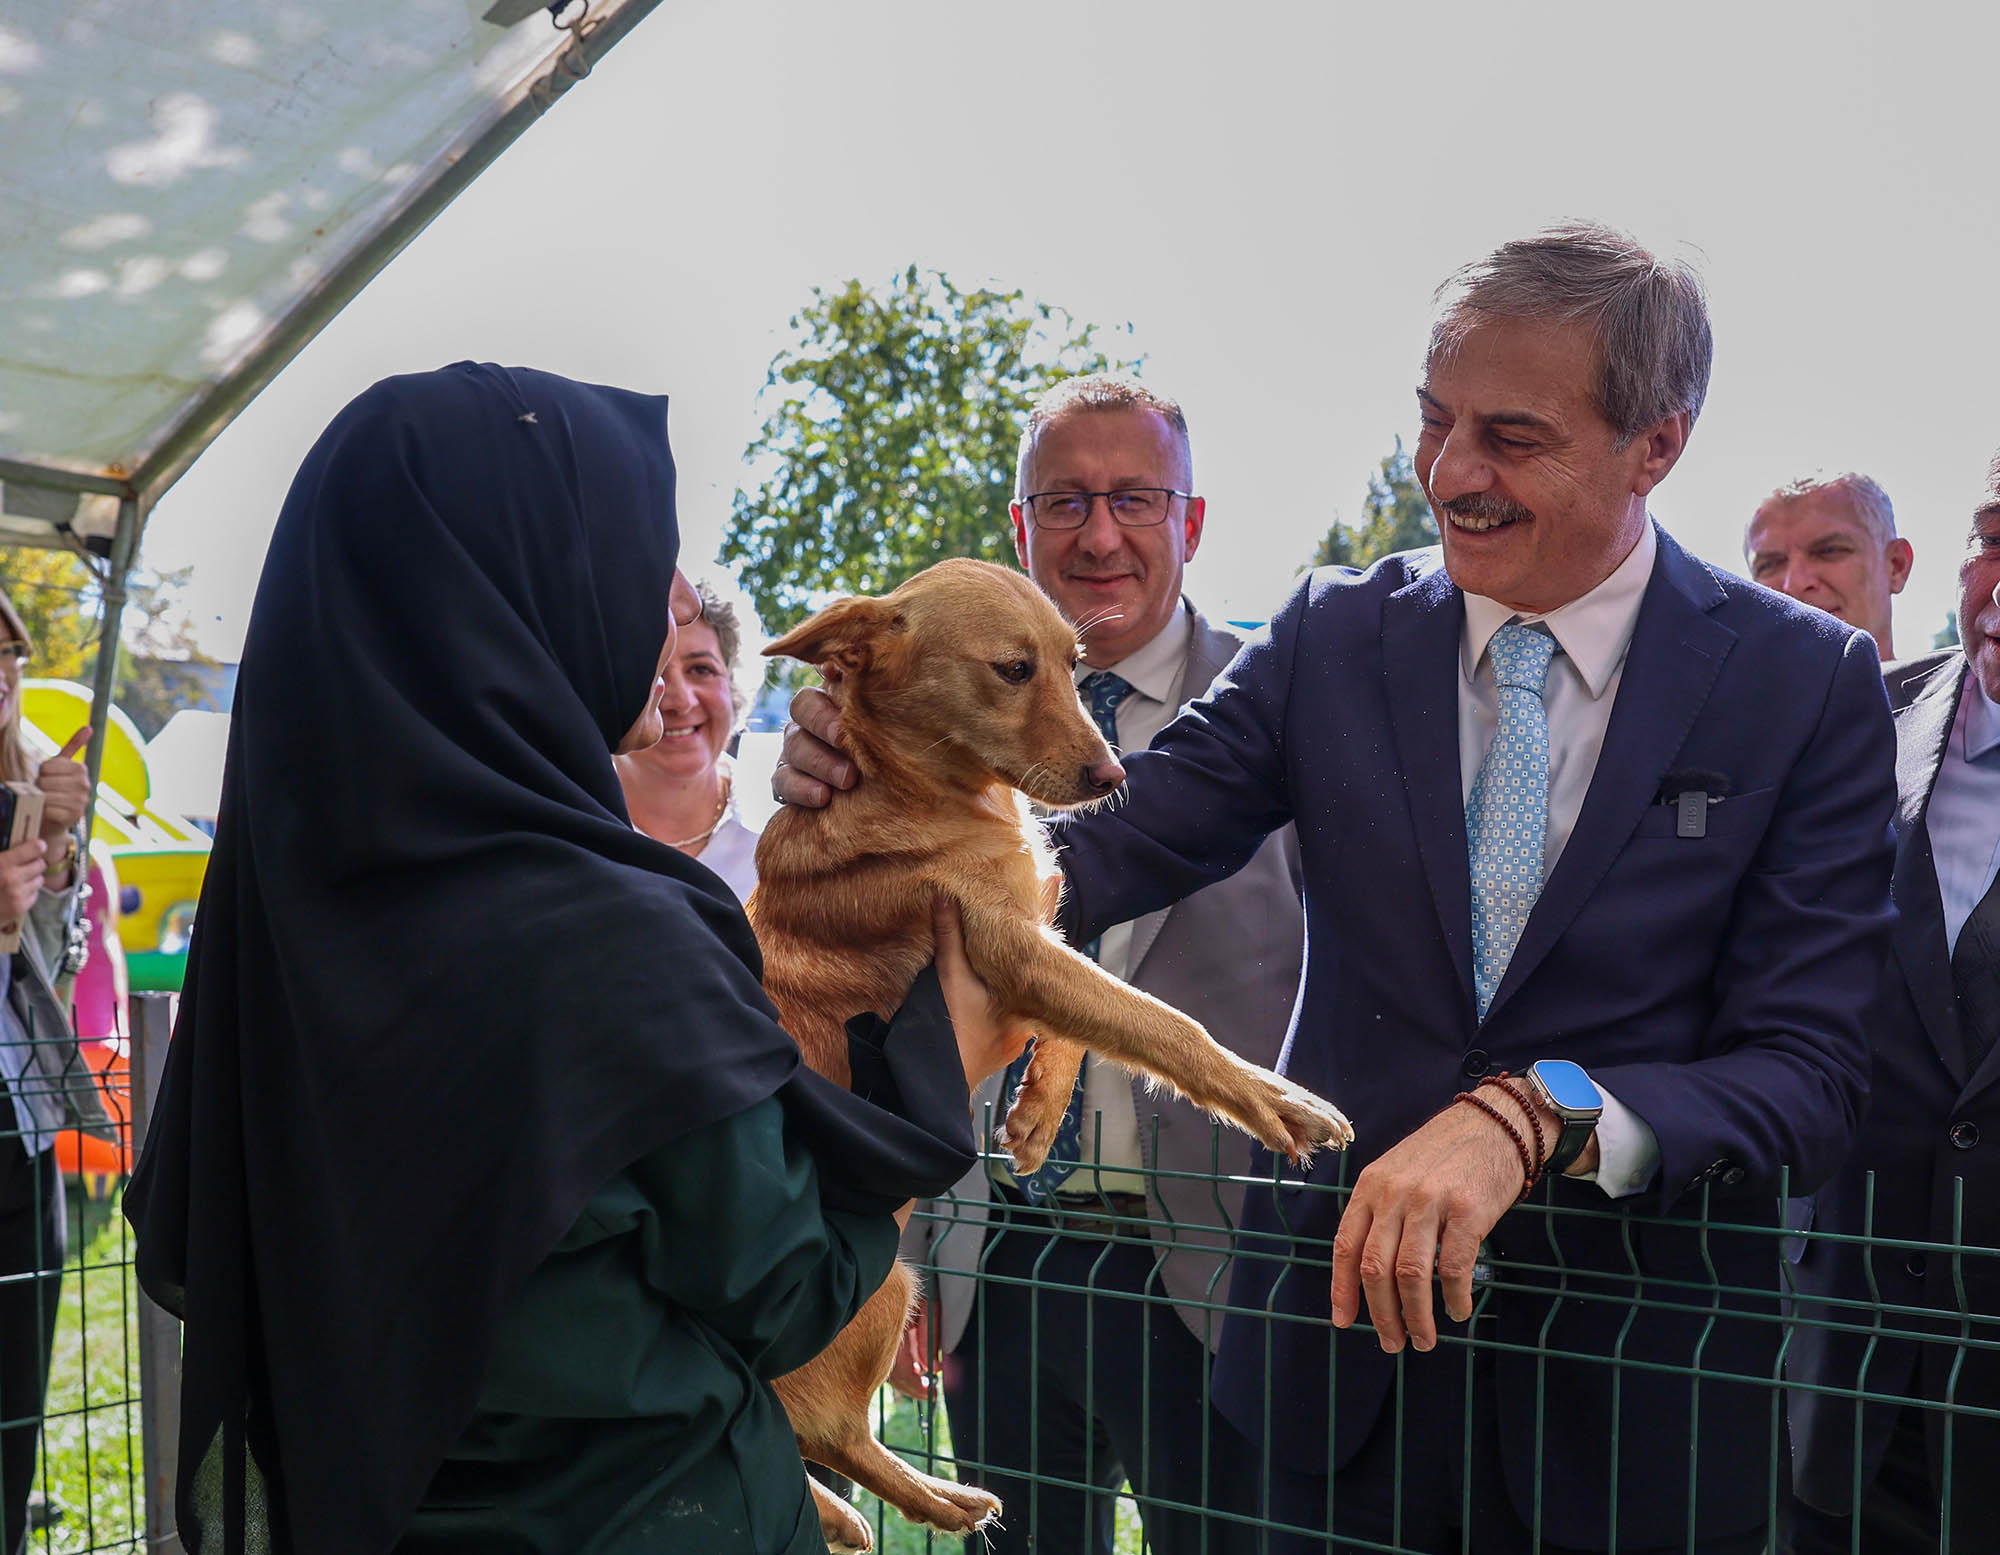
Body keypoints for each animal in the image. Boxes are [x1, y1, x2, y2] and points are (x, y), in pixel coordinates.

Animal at [752, 555, 1360, 1535]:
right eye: (1012, 669)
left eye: (1075, 662)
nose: (1113, 773)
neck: (911, 784)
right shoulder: (1010, 951)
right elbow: (1159, 1021)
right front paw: (1276, 1095)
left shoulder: (1041, 936)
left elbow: (1091, 1025)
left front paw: (1037, 1117)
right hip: (888, 1292)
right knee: (828, 1429)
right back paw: (935, 1499)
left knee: (814, 1440)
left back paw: (872, 1509)